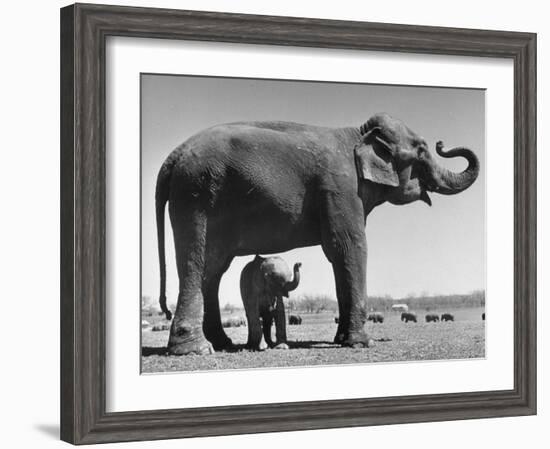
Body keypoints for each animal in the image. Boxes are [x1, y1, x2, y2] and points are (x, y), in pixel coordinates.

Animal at [157, 111, 480, 354]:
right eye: (421, 150)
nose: (441, 142)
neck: (358, 134)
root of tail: (172, 156)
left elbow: (338, 255)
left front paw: (342, 340)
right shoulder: (340, 187)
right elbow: (349, 246)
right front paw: (362, 343)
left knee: (213, 269)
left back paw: (221, 343)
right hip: (195, 196)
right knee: (196, 262)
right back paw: (196, 350)